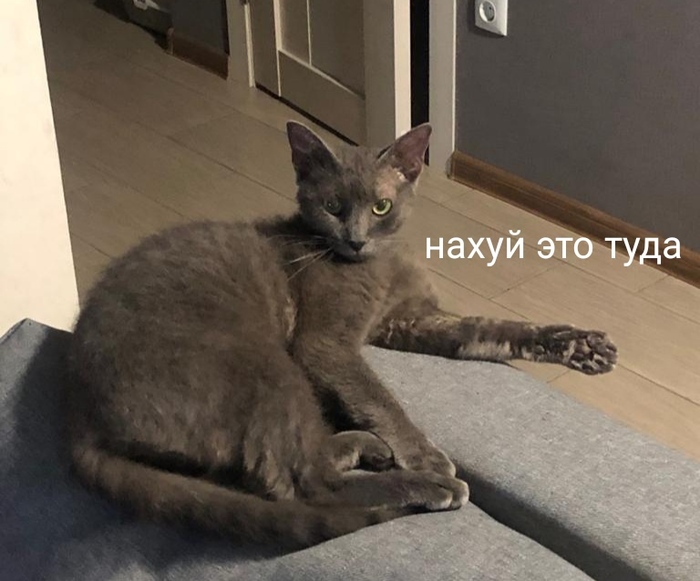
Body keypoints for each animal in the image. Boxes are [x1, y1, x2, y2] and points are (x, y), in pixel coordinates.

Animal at [66, 121, 618, 550]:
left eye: (381, 207)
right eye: (332, 205)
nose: (354, 239)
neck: (379, 265)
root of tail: (81, 415)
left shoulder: (412, 319)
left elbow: (491, 329)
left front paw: (582, 345)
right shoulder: (325, 344)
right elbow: (378, 396)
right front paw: (425, 454)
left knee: (272, 465)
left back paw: (364, 446)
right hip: (265, 363)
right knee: (301, 483)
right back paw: (427, 483)